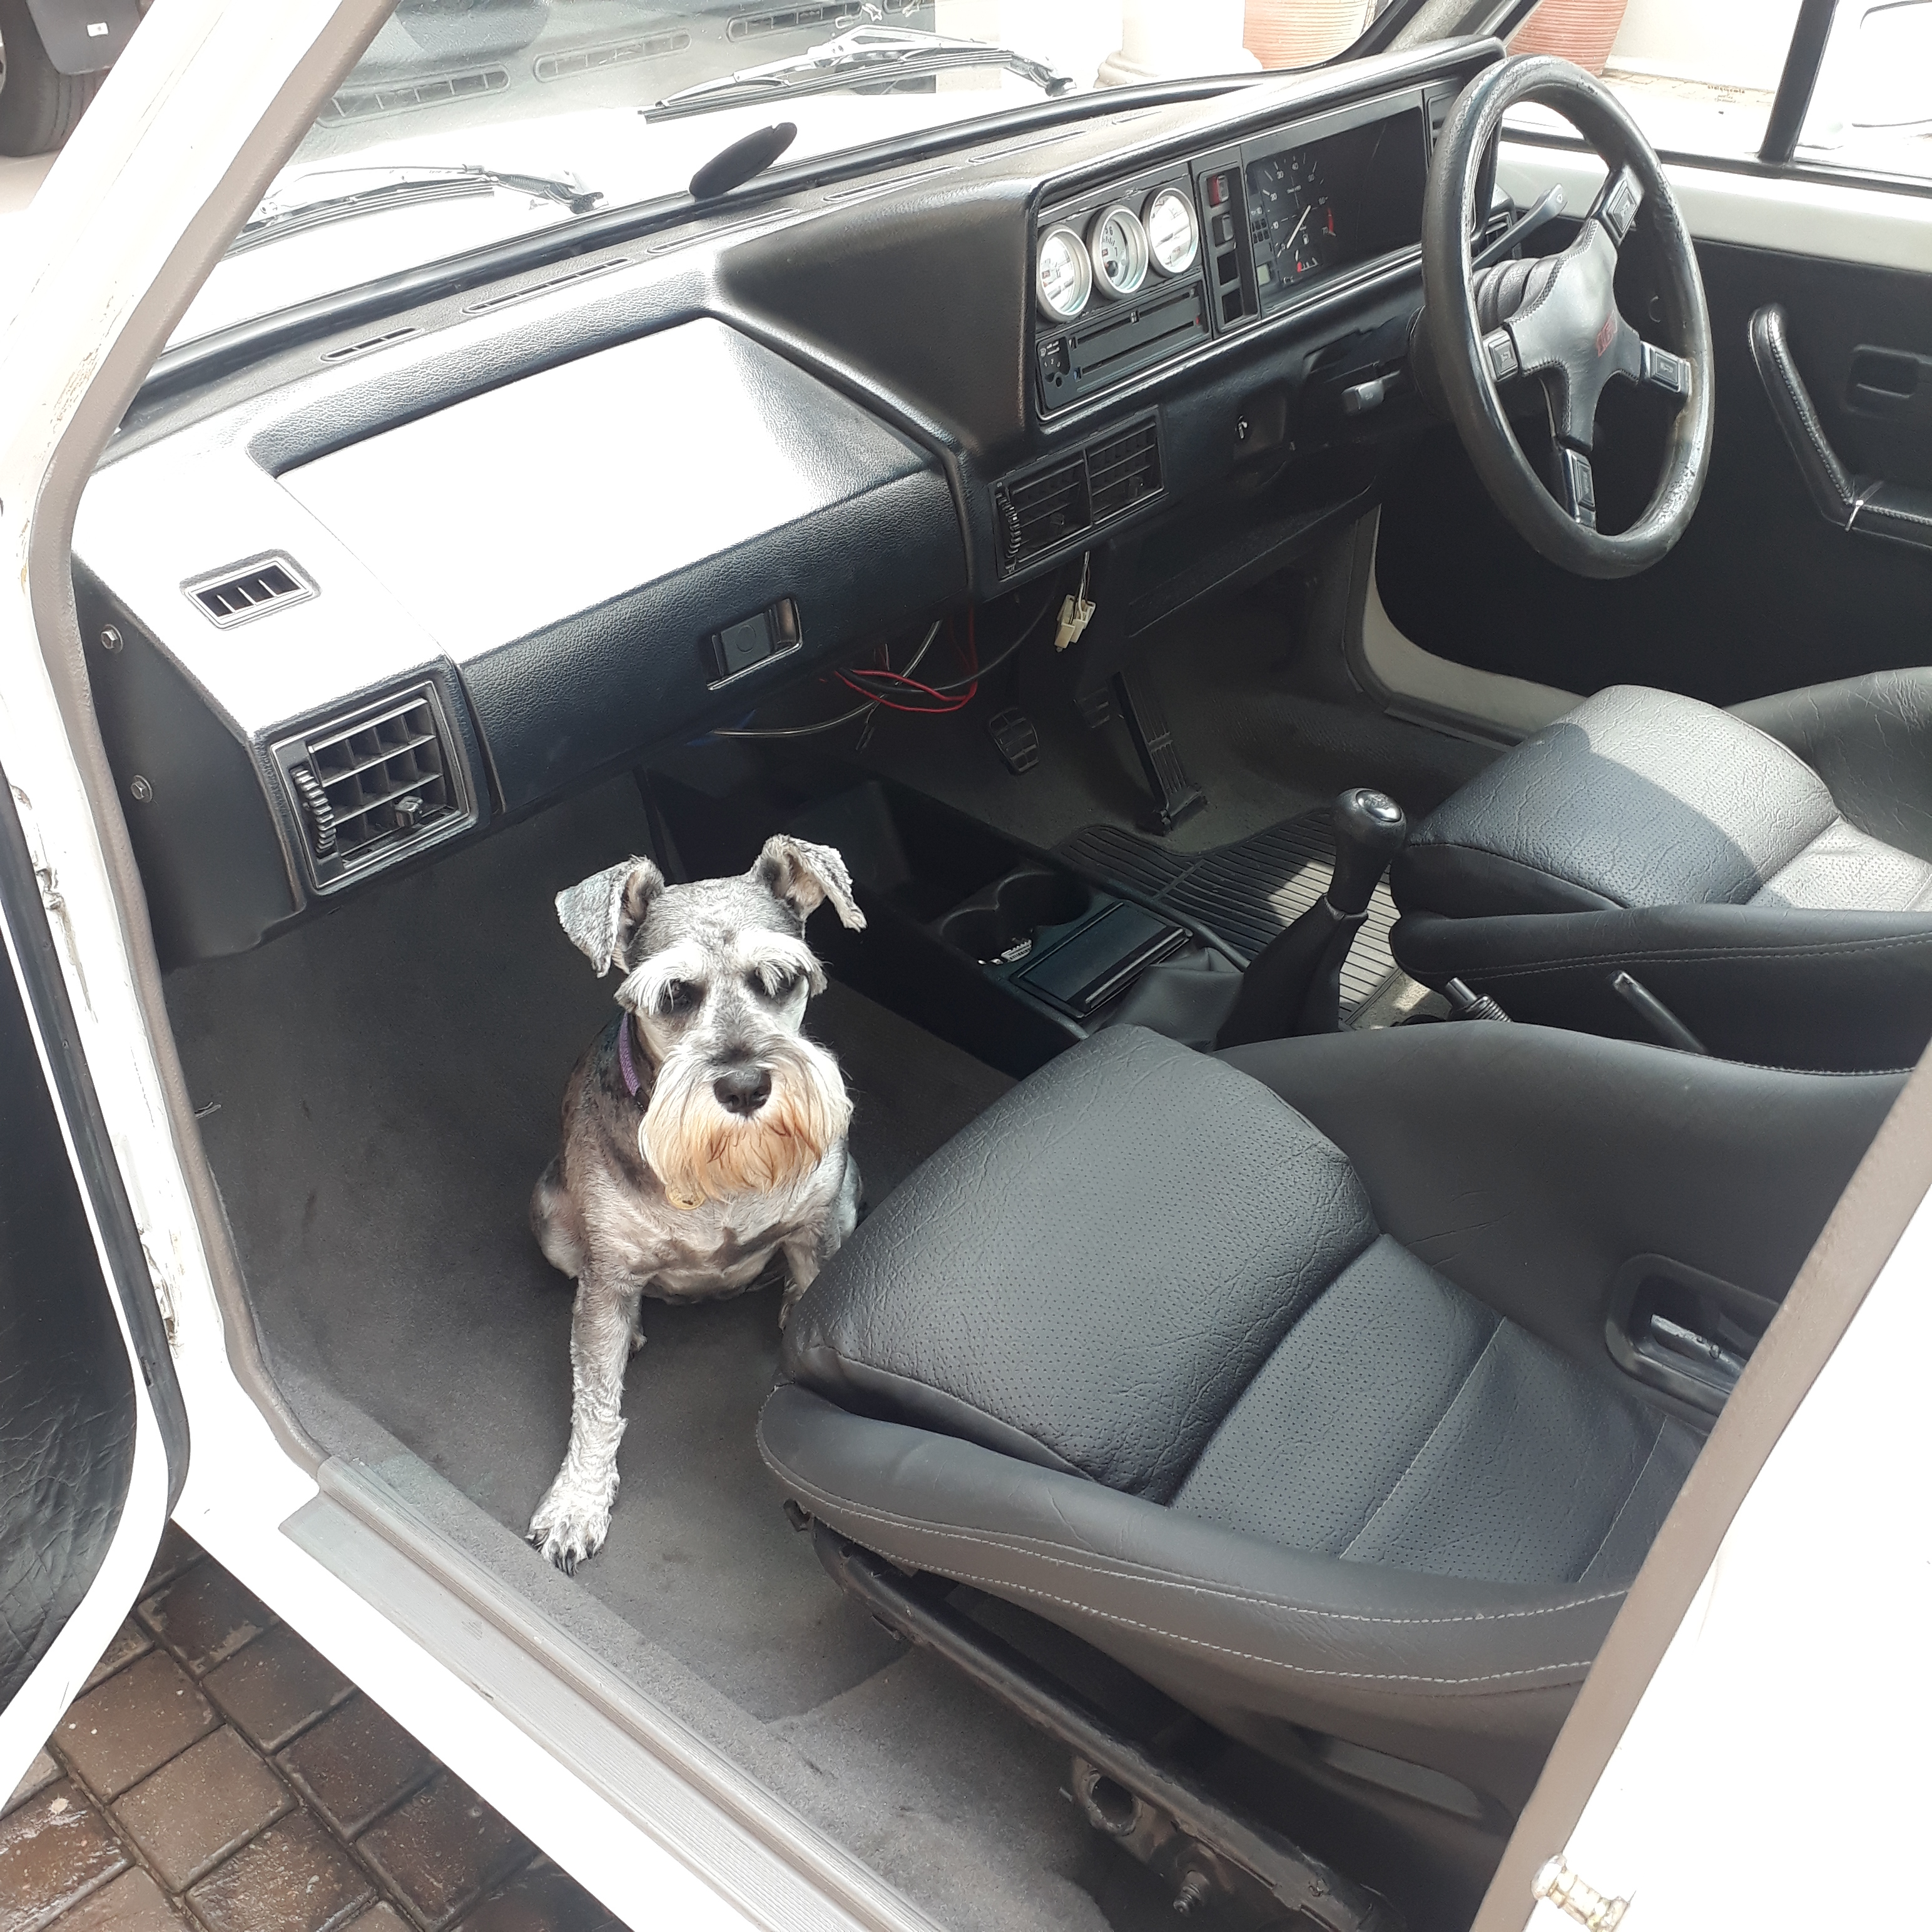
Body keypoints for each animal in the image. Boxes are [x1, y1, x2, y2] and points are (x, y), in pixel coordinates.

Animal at [527, 835, 865, 1571]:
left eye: (781, 978)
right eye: (675, 993)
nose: (744, 1085)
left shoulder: (818, 1225)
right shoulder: (609, 1274)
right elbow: (595, 1404)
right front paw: (576, 1503)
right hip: (550, 1221)